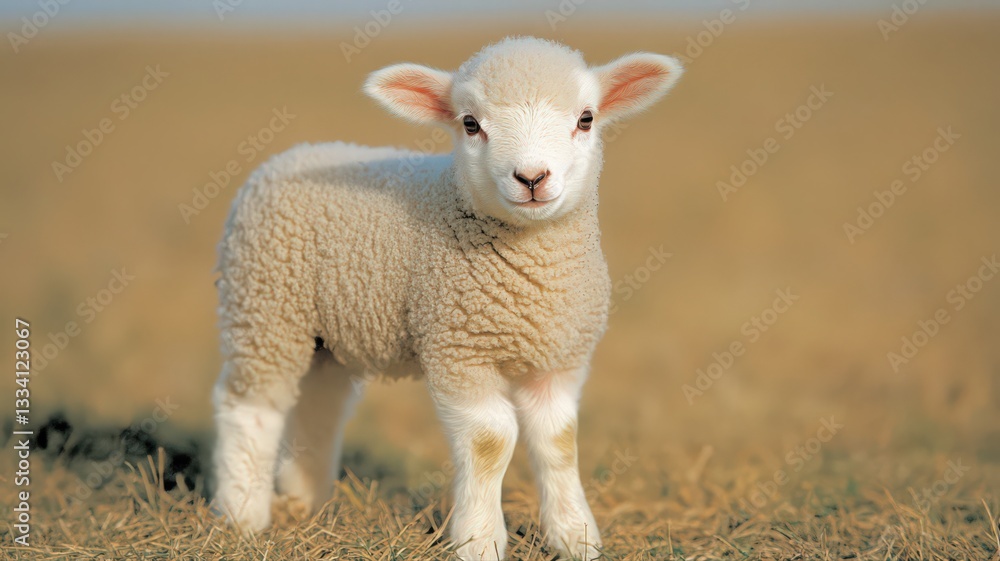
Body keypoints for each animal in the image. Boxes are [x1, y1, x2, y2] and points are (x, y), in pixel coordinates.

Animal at [212, 36, 683, 560]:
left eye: (586, 119)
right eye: (470, 124)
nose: (532, 178)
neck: (532, 281)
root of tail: (295, 154)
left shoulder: (560, 356)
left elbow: (559, 440)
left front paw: (574, 537)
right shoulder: (458, 348)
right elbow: (490, 441)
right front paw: (479, 540)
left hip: (323, 337)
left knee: (318, 406)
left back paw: (305, 498)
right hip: (264, 307)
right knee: (250, 406)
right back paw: (242, 514)